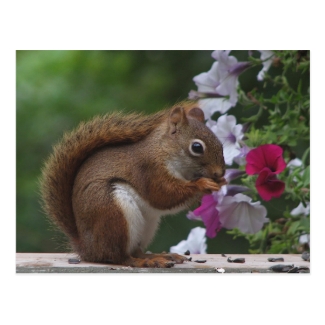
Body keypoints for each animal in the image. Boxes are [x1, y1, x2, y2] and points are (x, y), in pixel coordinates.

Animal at [39, 101, 225, 266]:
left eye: (221, 143)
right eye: (197, 147)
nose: (219, 173)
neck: (163, 150)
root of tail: (87, 248)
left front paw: (221, 182)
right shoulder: (150, 170)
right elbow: (163, 195)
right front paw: (203, 184)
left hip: (147, 225)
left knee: (136, 251)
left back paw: (159, 256)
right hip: (112, 213)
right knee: (118, 257)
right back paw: (145, 261)